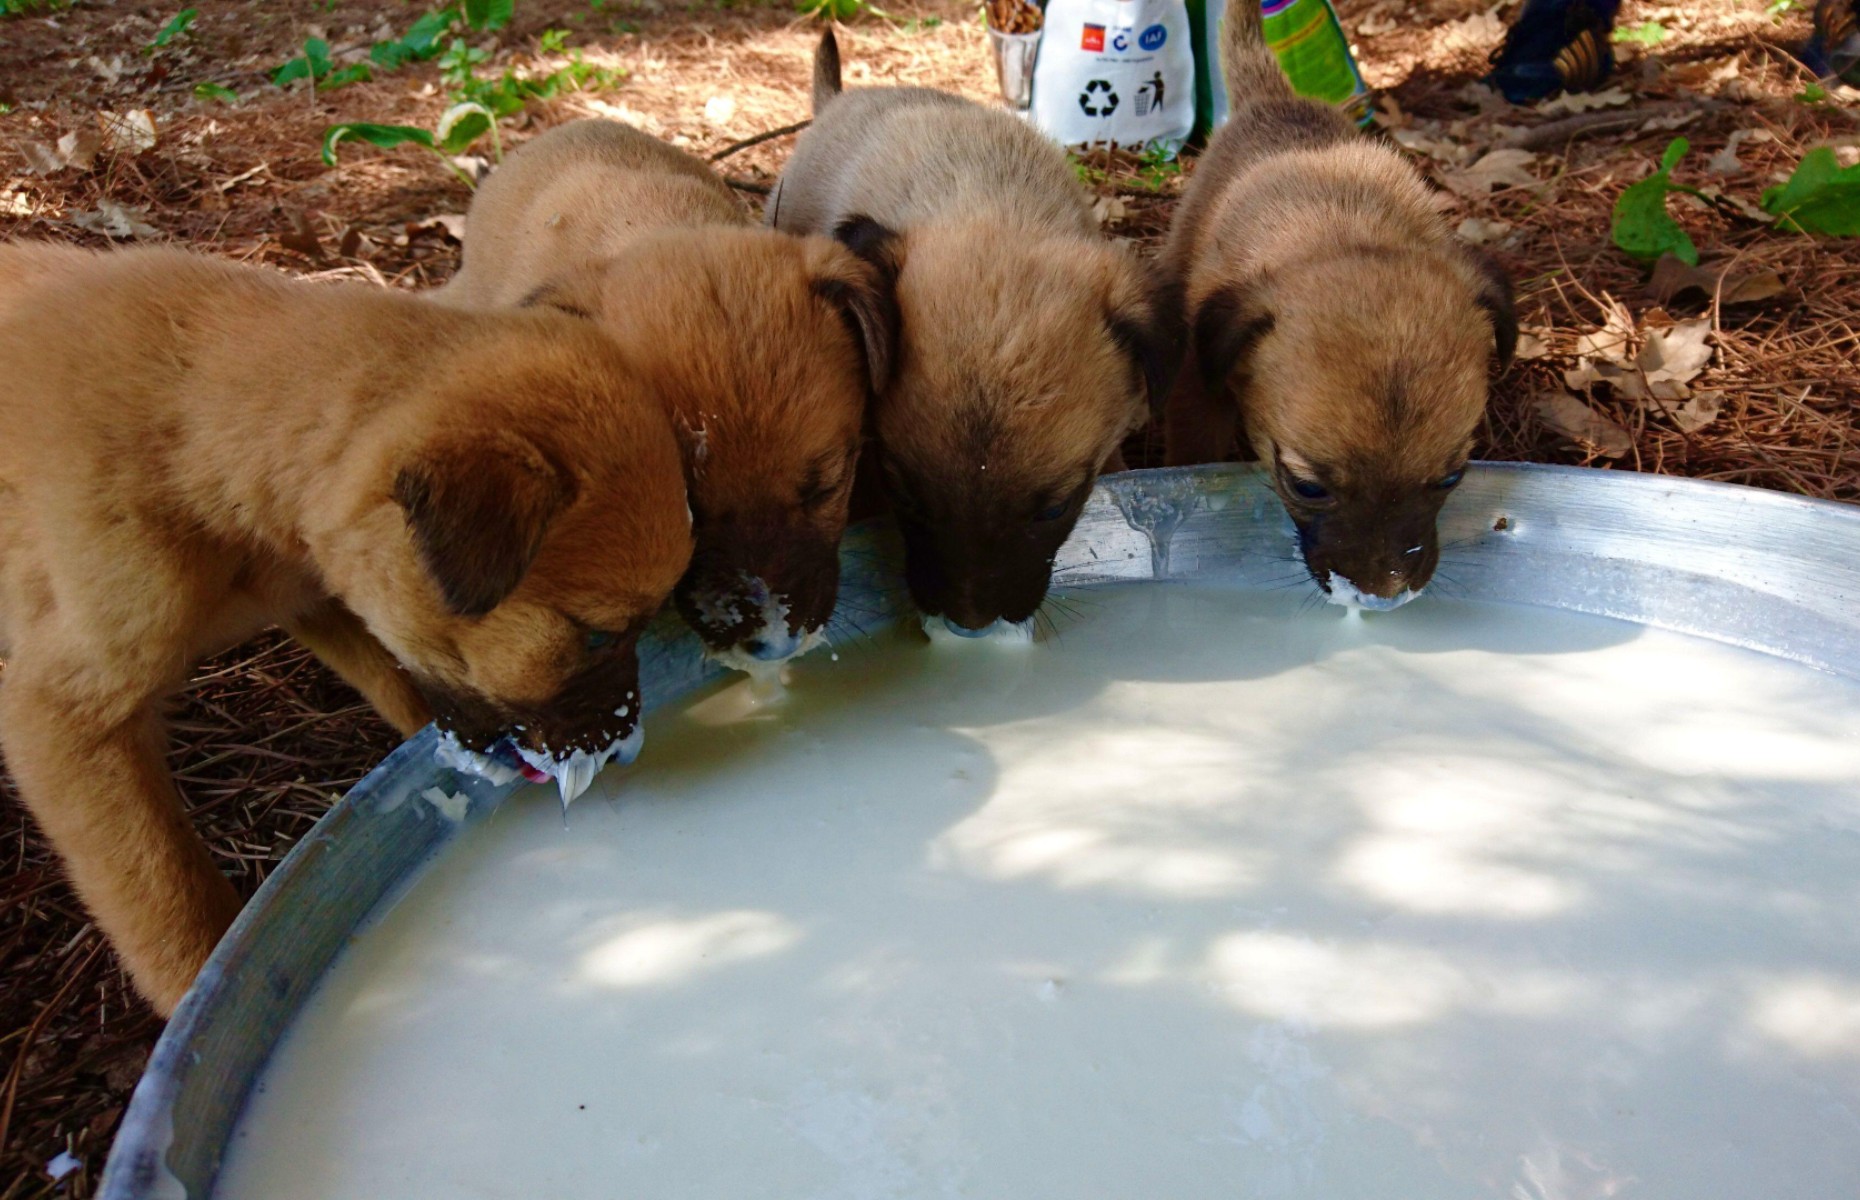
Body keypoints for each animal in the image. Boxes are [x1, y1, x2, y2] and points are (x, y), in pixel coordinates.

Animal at [0, 243, 695, 1012]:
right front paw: (201, 990)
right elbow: (170, 902)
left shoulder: (319, 596)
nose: (624, 753)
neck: (197, 429)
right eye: (599, 636)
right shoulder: (65, 717)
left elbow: (400, 685)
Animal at [1160, 2, 1510, 610]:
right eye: (1306, 487)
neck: (1343, 236)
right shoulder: (1198, 389)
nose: (1382, 594)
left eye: (1451, 478)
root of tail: (1272, 98)